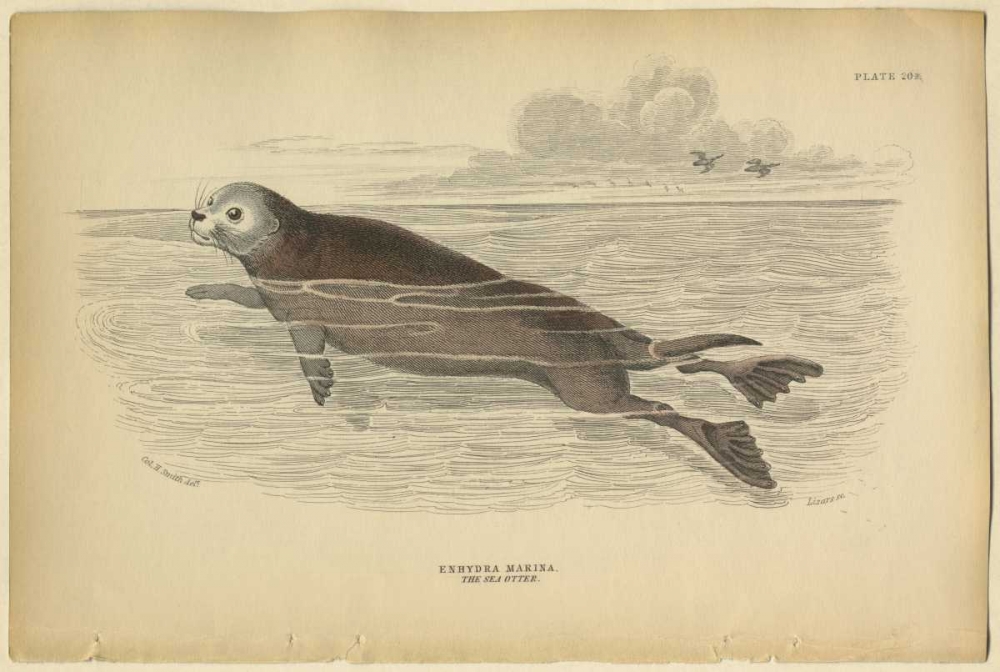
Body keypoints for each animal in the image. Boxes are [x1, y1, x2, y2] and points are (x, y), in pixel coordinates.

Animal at [185, 182, 822, 489]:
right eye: (210, 200)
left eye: (232, 212)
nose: (194, 216)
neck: (290, 246)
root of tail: (625, 341)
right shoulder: (269, 297)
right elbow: (239, 294)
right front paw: (199, 290)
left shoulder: (299, 312)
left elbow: (309, 352)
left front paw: (321, 390)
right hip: (600, 373)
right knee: (676, 372)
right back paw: (754, 378)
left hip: (585, 388)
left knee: (662, 404)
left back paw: (728, 440)